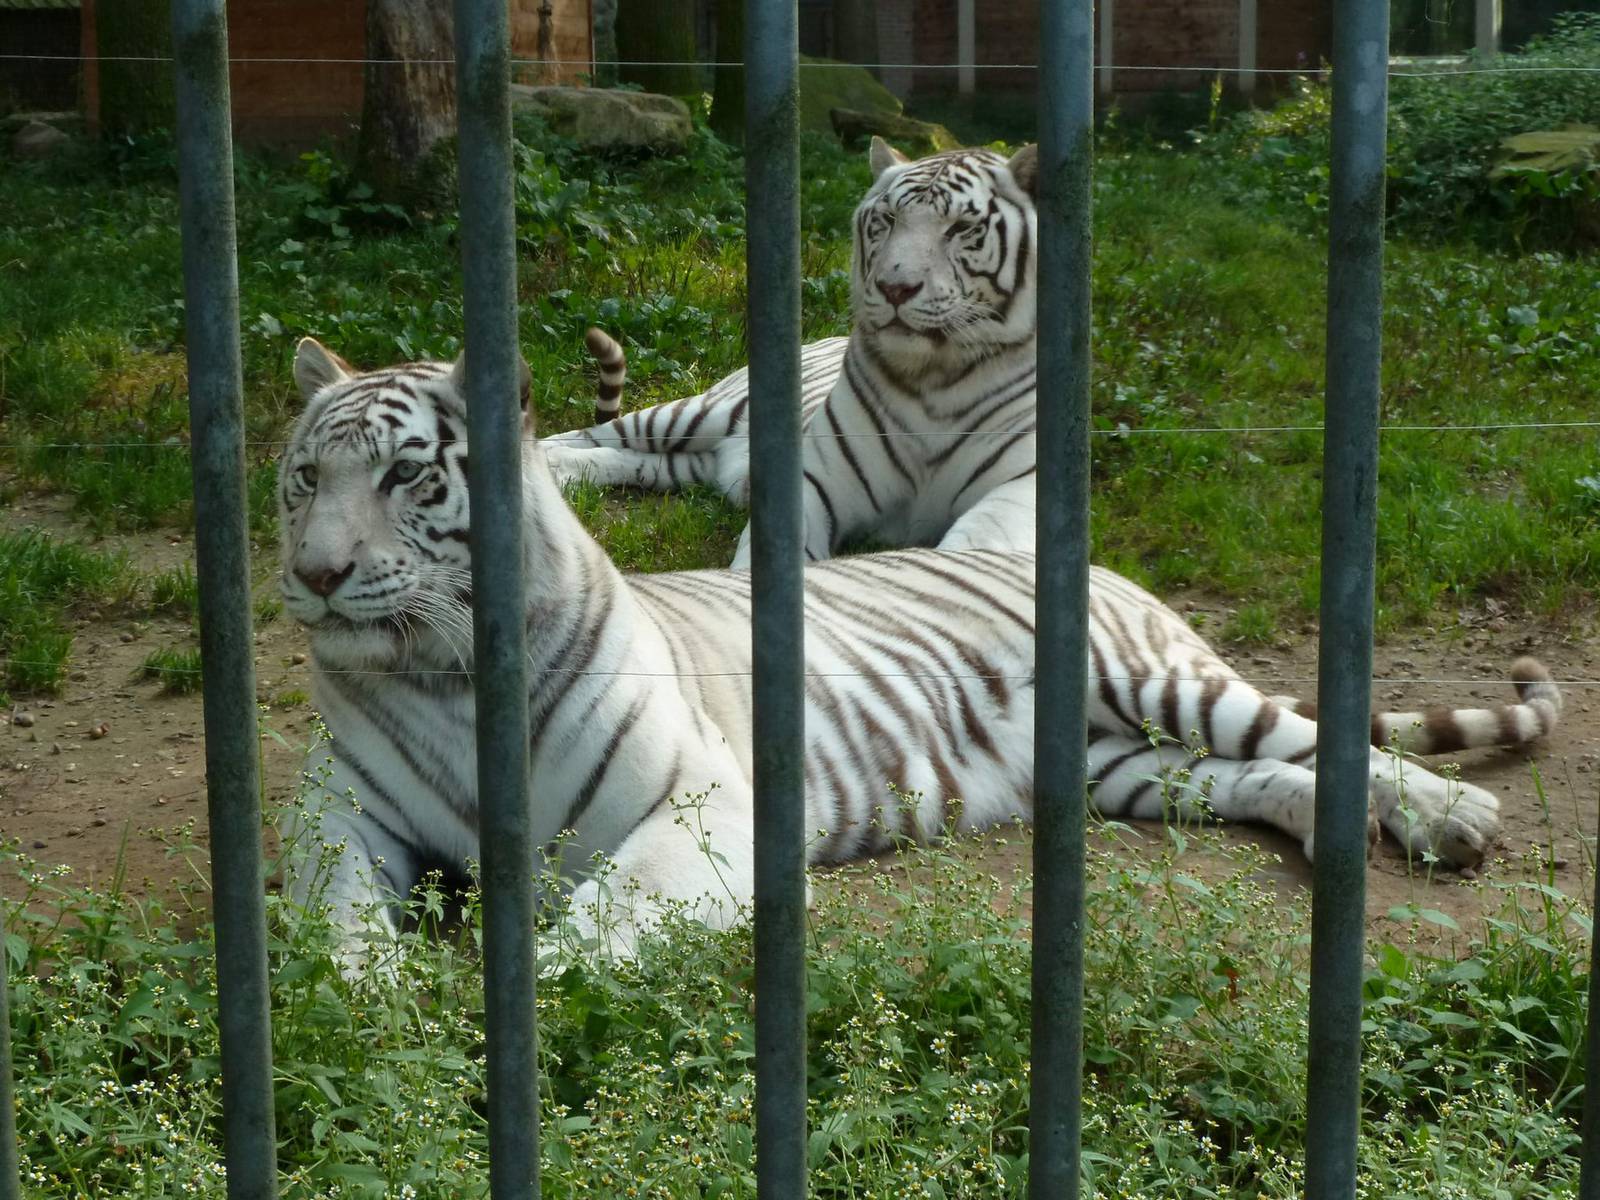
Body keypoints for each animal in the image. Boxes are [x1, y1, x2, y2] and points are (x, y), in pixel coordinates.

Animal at [279, 337, 1560, 959]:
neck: (439, 672)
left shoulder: (699, 809)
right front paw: (369, 998)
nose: (317, 575)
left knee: (1314, 739)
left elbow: (598, 926)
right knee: (1262, 780)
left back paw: (1451, 816)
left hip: (1161, 683)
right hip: (1117, 770)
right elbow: (332, 928)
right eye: (303, 478)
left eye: (407, 475)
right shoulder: (341, 822)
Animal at [540, 136, 1041, 568]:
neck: (934, 376)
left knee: (634, 460)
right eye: (888, 220)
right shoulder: (816, 480)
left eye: (961, 228)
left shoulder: (1018, 492)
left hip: (697, 460)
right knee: (586, 435)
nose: (894, 287)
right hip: (696, 414)